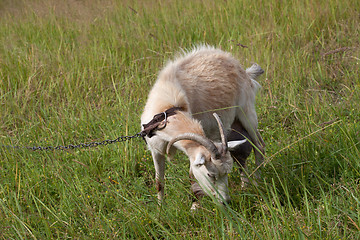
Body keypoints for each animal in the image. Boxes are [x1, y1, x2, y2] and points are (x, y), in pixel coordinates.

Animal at [141, 45, 264, 206]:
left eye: (226, 173)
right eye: (210, 174)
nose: (225, 201)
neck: (167, 111)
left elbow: (192, 177)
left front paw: (194, 206)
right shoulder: (156, 149)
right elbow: (159, 182)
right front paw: (160, 208)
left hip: (247, 114)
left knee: (259, 146)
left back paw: (257, 183)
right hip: (234, 126)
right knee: (241, 154)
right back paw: (245, 186)